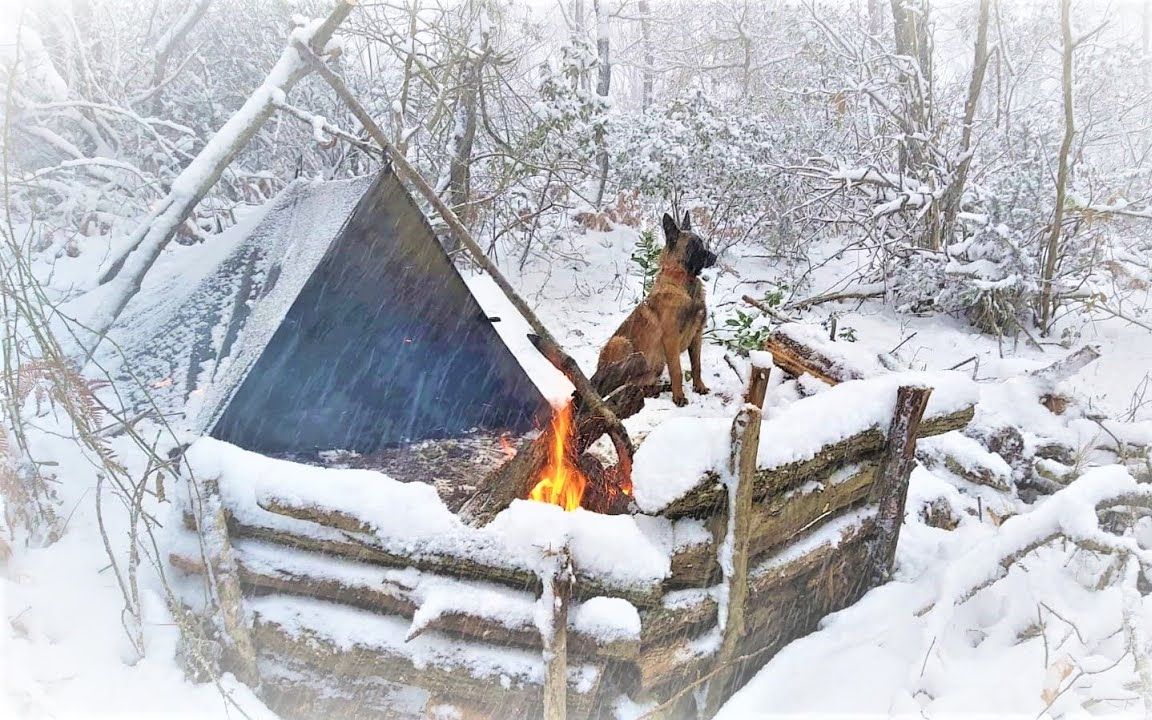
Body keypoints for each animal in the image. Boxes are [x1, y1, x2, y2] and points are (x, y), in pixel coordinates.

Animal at [599, 210, 714, 407]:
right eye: (694, 246)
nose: (714, 257)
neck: (684, 282)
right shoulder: (671, 339)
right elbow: (677, 370)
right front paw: (679, 397)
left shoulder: (697, 335)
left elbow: (696, 365)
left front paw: (699, 386)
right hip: (621, 342)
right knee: (617, 386)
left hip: (656, 365)